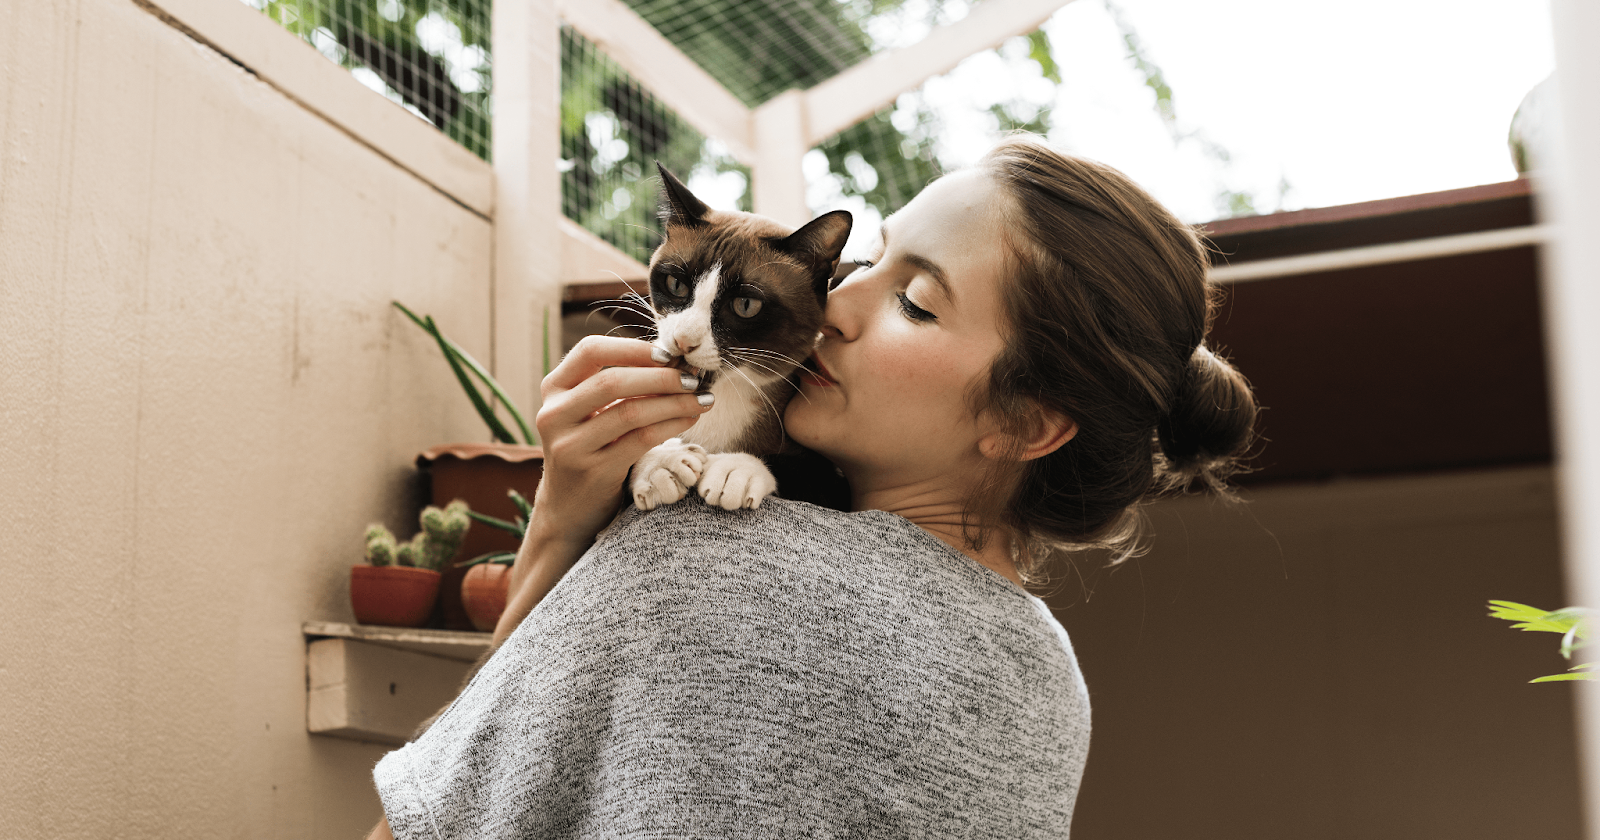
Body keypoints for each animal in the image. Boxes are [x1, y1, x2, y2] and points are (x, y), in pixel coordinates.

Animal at [624, 160, 851, 508]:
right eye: (676, 285)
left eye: (745, 305)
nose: (683, 341)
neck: (721, 400)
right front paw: (662, 464)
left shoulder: (835, 483)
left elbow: (791, 465)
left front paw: (733, 469)